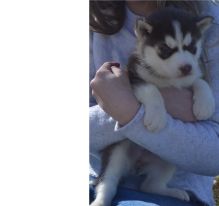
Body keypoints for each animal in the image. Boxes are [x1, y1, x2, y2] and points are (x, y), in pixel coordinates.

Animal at [90, 7, 215, 206]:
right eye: (165, 49)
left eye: (192, 48)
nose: (186, 67)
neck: (167, 77)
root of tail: (138, 162)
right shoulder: (132, 76)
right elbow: (151, 89)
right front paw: (157, 117)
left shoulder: (193, 73)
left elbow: (200, 81)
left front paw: (205, 104)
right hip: (117, 151)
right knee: (107, 182)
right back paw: (101, 200)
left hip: (169, 157)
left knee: (149, 186)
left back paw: (171, 192)